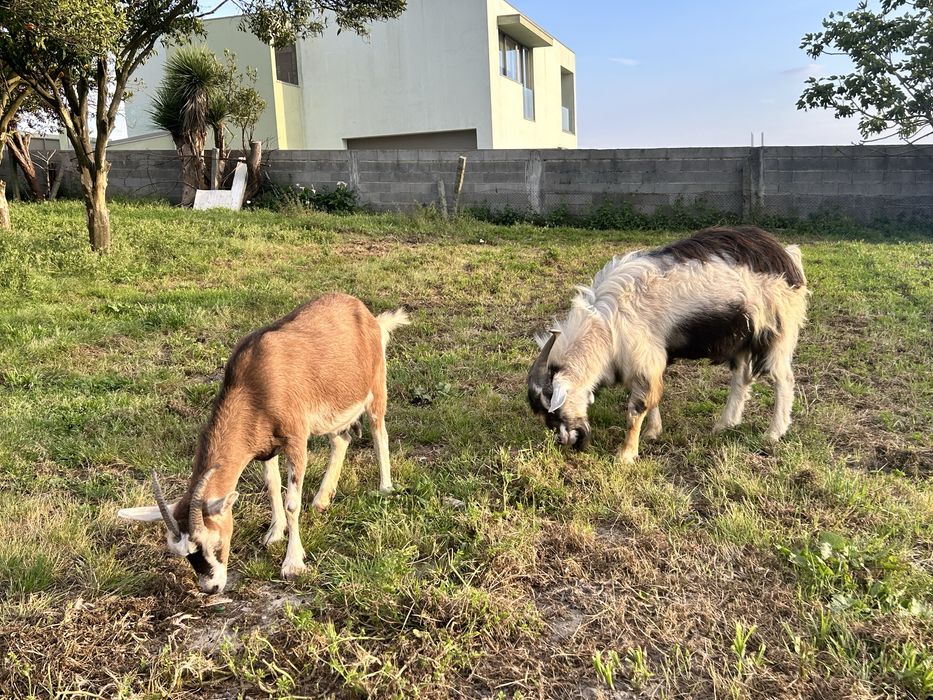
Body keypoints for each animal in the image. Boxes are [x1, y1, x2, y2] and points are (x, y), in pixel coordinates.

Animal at [118, 293, 410, 593]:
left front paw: (293, 563)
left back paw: (385, 488)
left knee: (379, 432)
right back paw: (321, 500)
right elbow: (271, 486)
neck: (253, 384)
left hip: (376, 389)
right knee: (341, 439)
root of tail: (366, 314)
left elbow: (291, 502)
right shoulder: (265, 446)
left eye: (212, 541)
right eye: (182, 553)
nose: (211, 588)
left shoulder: (296, 440)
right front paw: (274, 533)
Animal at [527, 226, 808, 462]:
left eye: (553, 410)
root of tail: (787, 257)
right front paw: (653, 432)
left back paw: (773, 433)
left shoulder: (643, 354)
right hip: (740, 339)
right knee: (741, 379)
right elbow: (652, 397)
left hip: (776, 332)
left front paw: (626, 455)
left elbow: (637, 407)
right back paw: (724, 424)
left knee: (784, 380)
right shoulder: (643, 360)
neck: (605, 325)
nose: (570, 442)